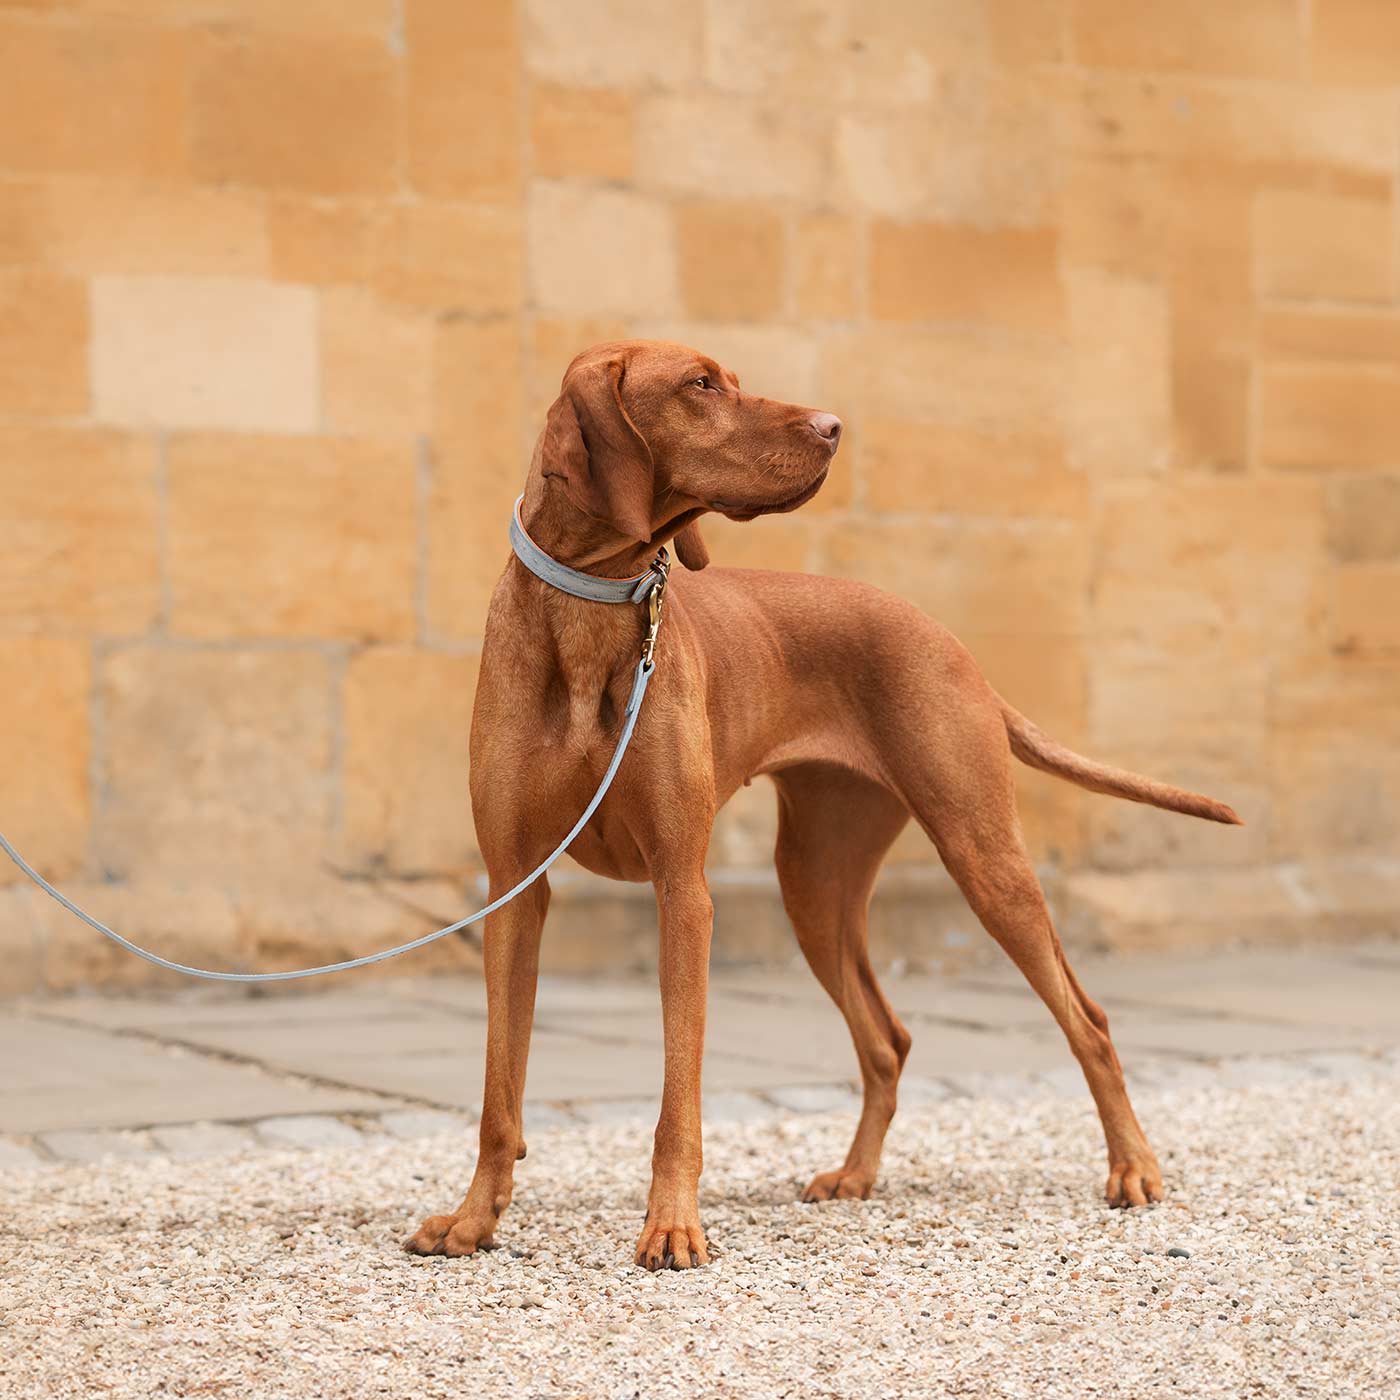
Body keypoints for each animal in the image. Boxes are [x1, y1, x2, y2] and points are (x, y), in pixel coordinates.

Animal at [403, 338, 1237, 1271]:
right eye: (700, 385)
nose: (835, 426)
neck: (593, 603)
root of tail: (950, 641)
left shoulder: (683, 890)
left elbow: (678, 1095)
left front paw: (672, 1226)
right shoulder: (514, 887)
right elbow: (498, 1091)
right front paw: (472, 1221)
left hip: (983, 859)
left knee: (1086, 1020)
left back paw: (1133, 1168)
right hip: (814, 886)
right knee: (886, 1039)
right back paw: (856, 1175)